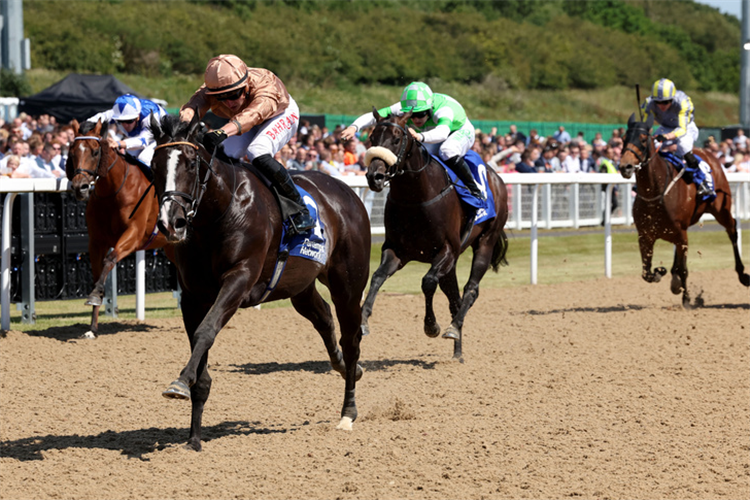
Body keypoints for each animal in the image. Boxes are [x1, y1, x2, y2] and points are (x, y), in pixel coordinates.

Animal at [65, 119, 174, 338]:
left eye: (95, 151)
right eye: (72, 152)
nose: (80, 187)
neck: (113, 192)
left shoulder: (133, 235)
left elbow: (110, 259)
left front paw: (94, 296)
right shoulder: (96, 242)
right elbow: (97, 274)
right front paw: (92, 328)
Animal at [148, 115, 372, 452]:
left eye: (190, 163)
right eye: (154, 164)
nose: (170, 223)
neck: (221, 209)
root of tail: (347, 191)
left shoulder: (239, 280)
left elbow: (206, 331)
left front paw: (179, 382)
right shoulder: (193, 296)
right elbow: (200, 348)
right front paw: (194, 438)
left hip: (348, 283)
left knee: (351, 337)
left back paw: (348, 412)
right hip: (300, 286)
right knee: (323, 318)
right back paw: (346, 367)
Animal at [362, 110, 512, 360]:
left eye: (396, 139)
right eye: (372, 138)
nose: (375, 176)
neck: (415, 198)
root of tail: (496, 177)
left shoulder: (447, 250)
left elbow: (428, 282)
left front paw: (431, 326)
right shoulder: (396, 250)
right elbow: (377, 277)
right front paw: (363, 320)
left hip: (486, 241)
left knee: (470, 290)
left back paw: (453, 328)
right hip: (451, 265)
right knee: (454, 300)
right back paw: (457, 352)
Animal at [620, 114, 748, 306]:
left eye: (642, 139)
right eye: (623, 139)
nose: (625, 166)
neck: (656, 192)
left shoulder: (681, 233)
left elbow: (684, 269)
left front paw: (687, 298)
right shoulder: (645, 236)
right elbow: (646, 273)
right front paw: (661, 272)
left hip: (721, 209)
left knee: (732, 229)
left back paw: (742, 274)